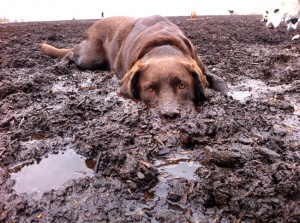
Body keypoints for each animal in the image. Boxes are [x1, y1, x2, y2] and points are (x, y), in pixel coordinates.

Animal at [39, 15, 227, 119]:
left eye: (182, 85)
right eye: (149, 89)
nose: (169, 115)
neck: (163, 47)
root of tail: (93, 24)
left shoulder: (200, 67)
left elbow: (220, 81)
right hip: (91, 57)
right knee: (71, 53)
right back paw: (61, 65)